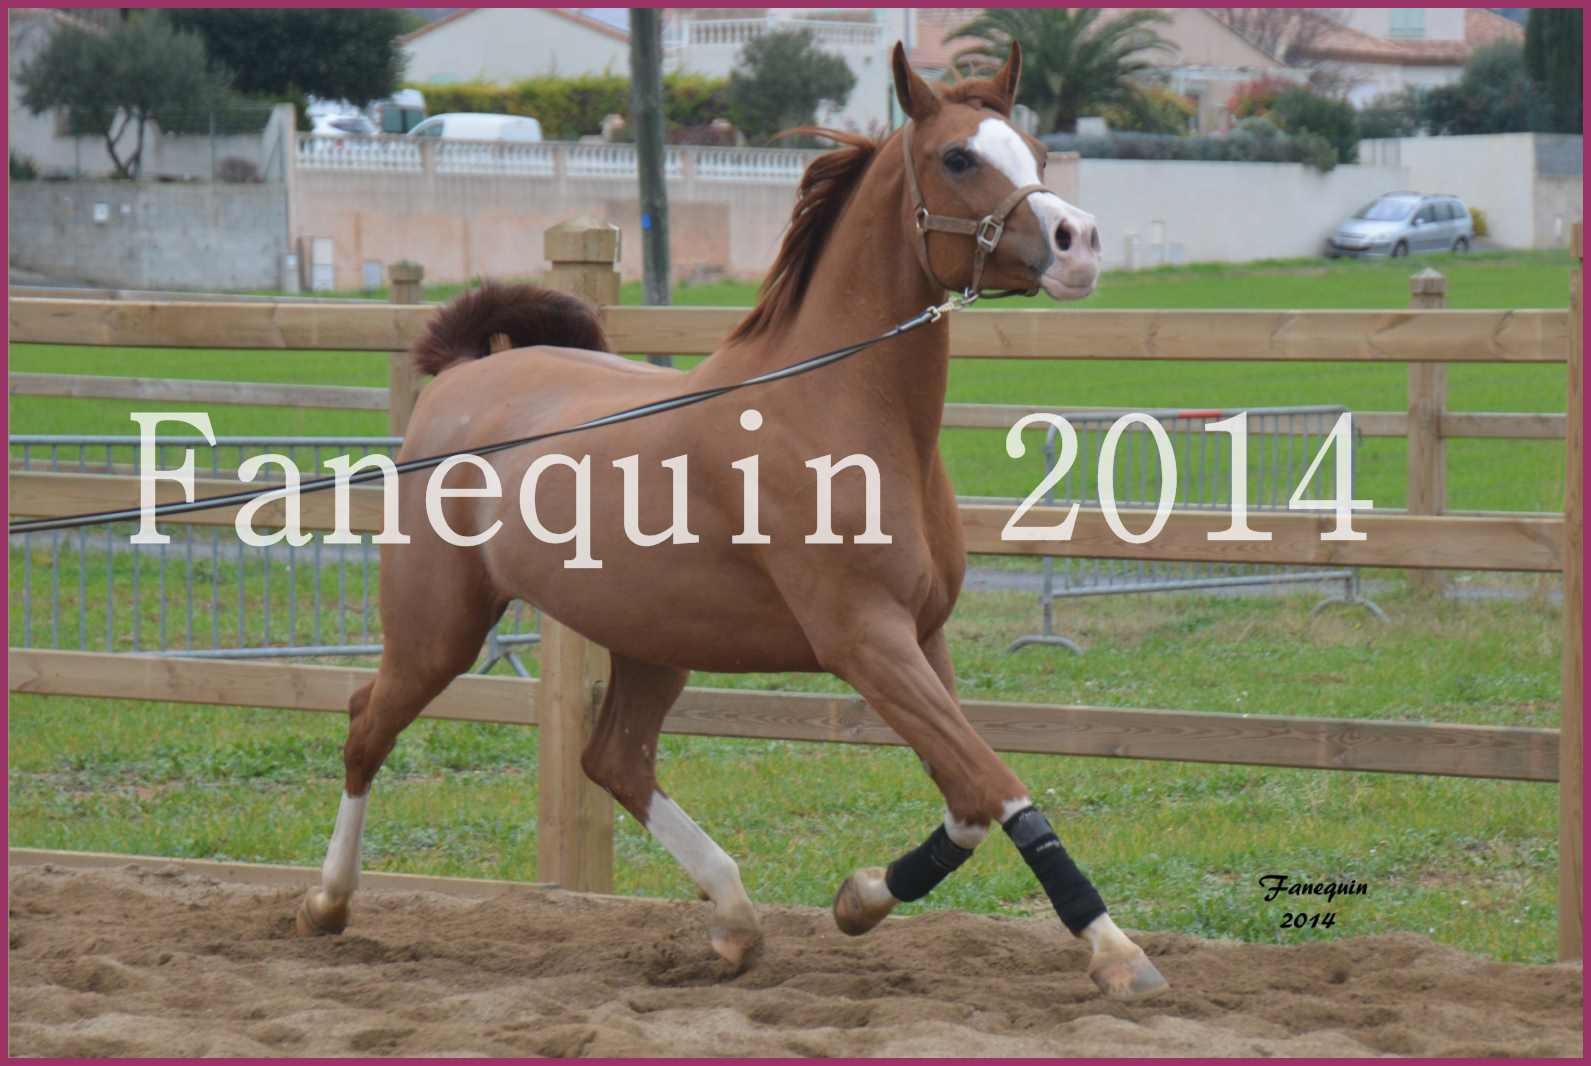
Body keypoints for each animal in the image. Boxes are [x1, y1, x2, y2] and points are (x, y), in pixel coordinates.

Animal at [299, 43, 1164, 1005]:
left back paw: (736, 923)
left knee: (615, 761)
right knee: (366, 725)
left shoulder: (922, 638)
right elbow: (997, 785)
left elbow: (967, 801)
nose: (1078, 243)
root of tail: (458, 377)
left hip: (650, 640)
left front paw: (859, 898)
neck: (833, 413)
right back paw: (327, 904)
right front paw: (1114, 950)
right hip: (437, 628)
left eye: (1038, 152)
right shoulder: (865, 641)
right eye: (957, 157)